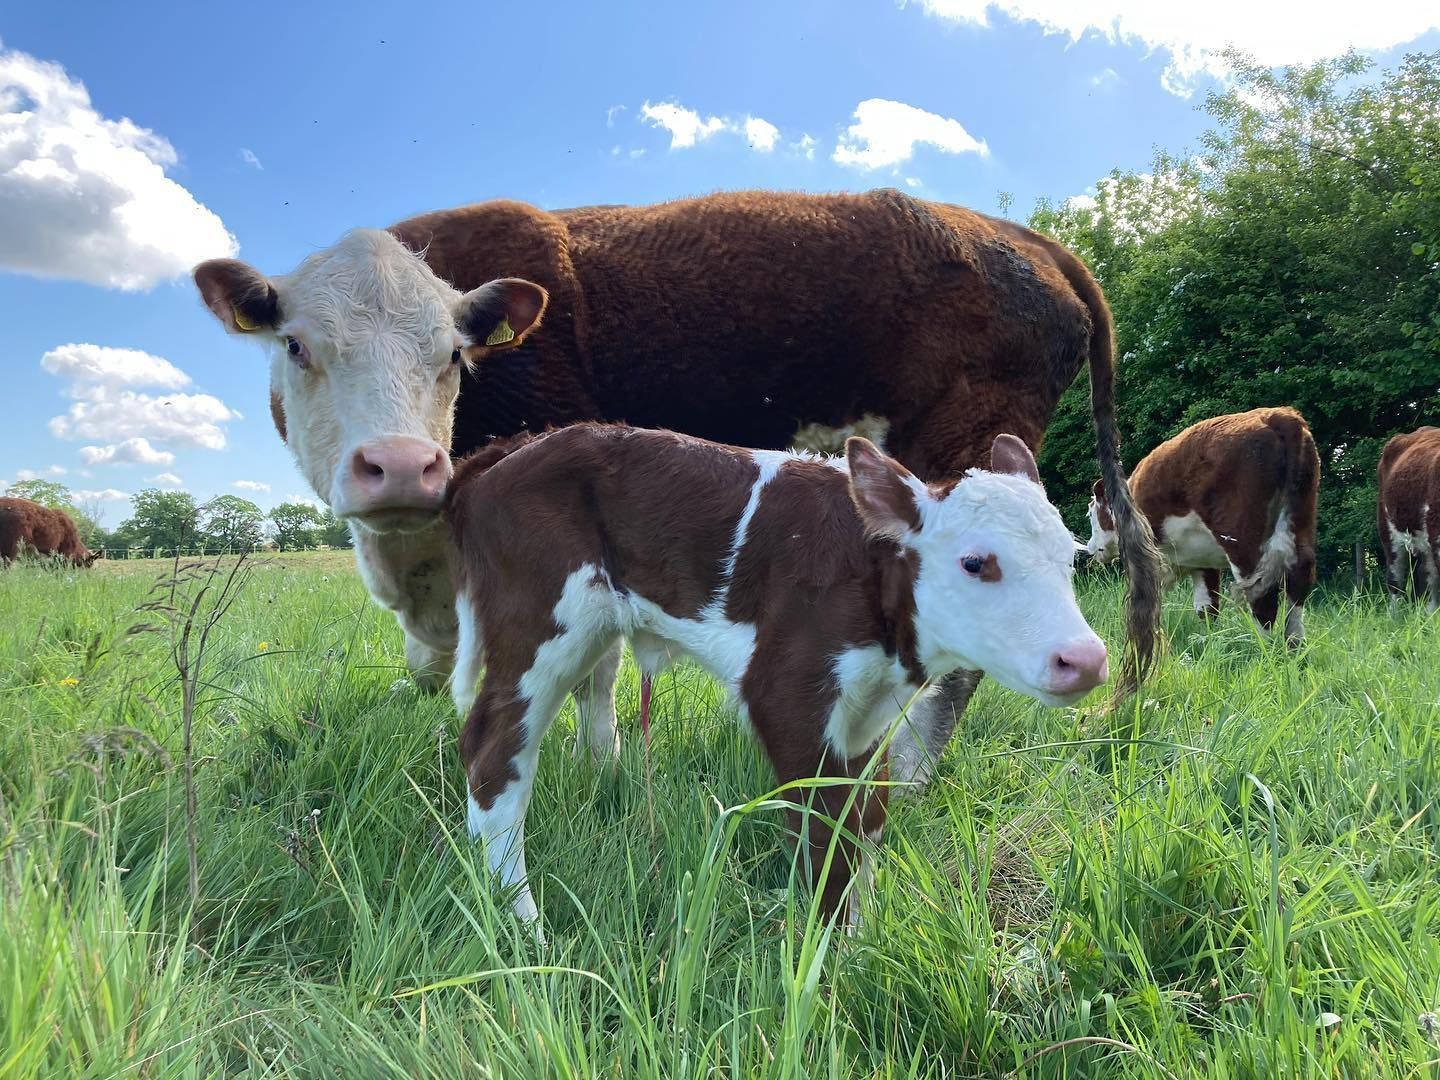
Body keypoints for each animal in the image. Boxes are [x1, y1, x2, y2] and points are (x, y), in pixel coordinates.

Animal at [193, 188, 1162, 786]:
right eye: (296, 346)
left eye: (455, 355)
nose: (399, 465)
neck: (412, 563)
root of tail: (1026, 237)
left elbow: (595, 672)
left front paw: (606, 769)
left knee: (956, 667)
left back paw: (908, 774)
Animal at [444, 424, 1107, 931]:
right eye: (975, 562)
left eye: (1070, 557)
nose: (1085, 659)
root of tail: (514, 449)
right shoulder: (787, 694)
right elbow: (825, 830)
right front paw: (830, 963)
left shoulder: (869, 714)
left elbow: (866, 818)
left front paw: (862, 939)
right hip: (541, 625)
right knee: (494, 751)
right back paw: (522, 920)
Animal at [1085, 407, 1319, 644]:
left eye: (1090, 513)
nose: (1090, 546)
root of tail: (1279, 415)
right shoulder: (1202, 560)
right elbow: (1207, 607)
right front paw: (1208, 642)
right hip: (1301, 515)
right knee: (1300, 574)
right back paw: (1294, 644)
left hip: (1242, 536)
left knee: (1261, 590)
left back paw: (1261, 645)